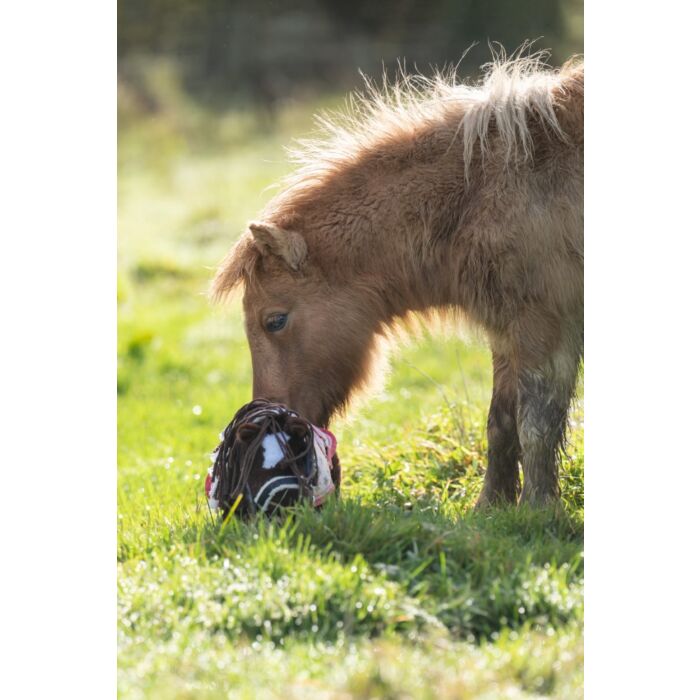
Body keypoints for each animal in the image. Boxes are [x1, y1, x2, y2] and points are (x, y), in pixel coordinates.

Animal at [211, 52, 584, 507]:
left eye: (275, 320)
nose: (268, 415)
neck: (480, 189)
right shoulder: (506, 333)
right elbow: (501, 421)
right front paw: (491, 506)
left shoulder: (544, 327)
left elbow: (536, 425)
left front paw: (538, 508)